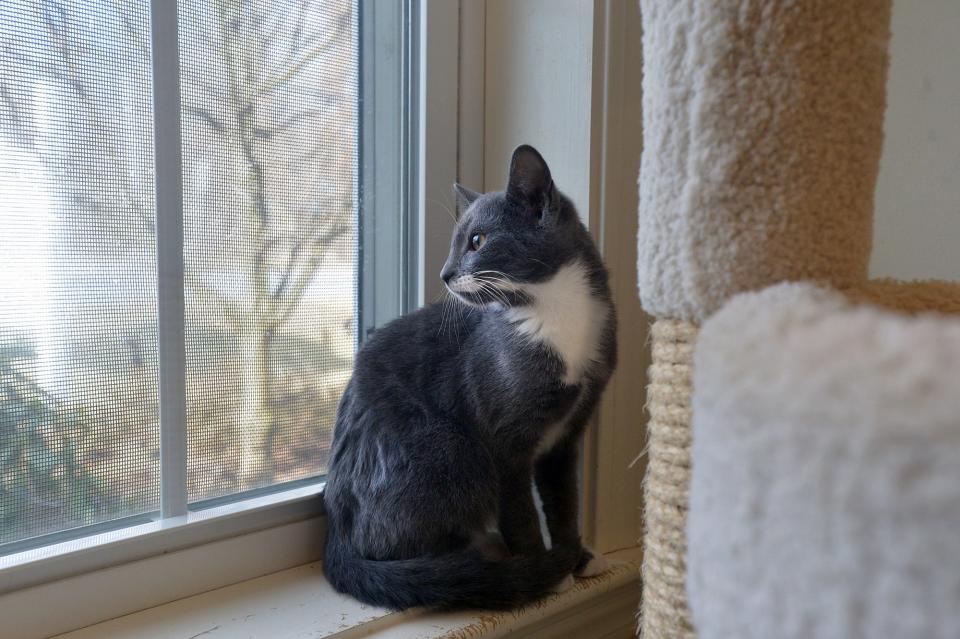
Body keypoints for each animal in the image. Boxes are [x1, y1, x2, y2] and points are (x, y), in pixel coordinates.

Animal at [322, 145, 620, 608]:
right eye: (455, 243)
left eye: (477, 240)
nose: (444, 273)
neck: (553, 313)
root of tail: (336, 531)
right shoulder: (502, 445)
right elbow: (520, 512)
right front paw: (545, 570)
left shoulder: (568, 435)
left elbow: (564, 502)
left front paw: (577, 555)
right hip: (453, 449)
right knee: (397, 544)